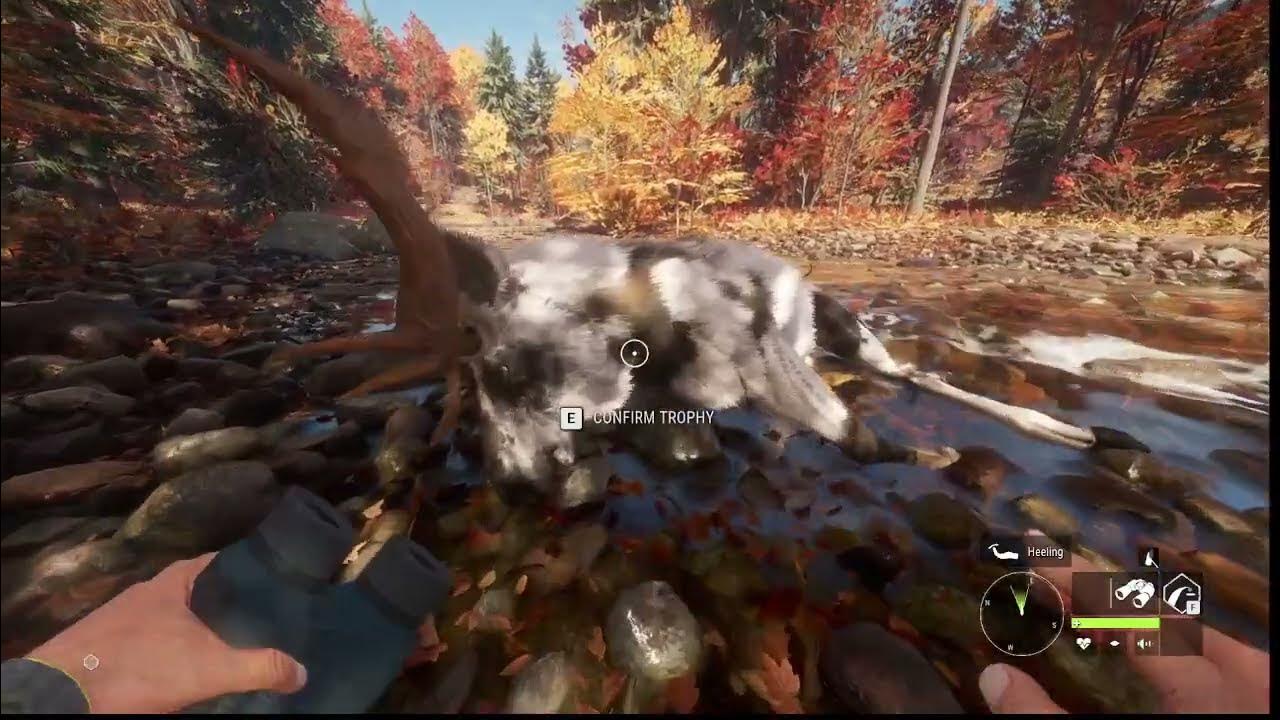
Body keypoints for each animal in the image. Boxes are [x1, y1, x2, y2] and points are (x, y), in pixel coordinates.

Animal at [175, 20, 1098, 495]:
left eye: (500, 373)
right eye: (465, 402)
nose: (509, 483)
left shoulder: (767, 354)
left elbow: (862, 439)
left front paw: (925, 455)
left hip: (850, 335)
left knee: (918, 377)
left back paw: (1052, 426)